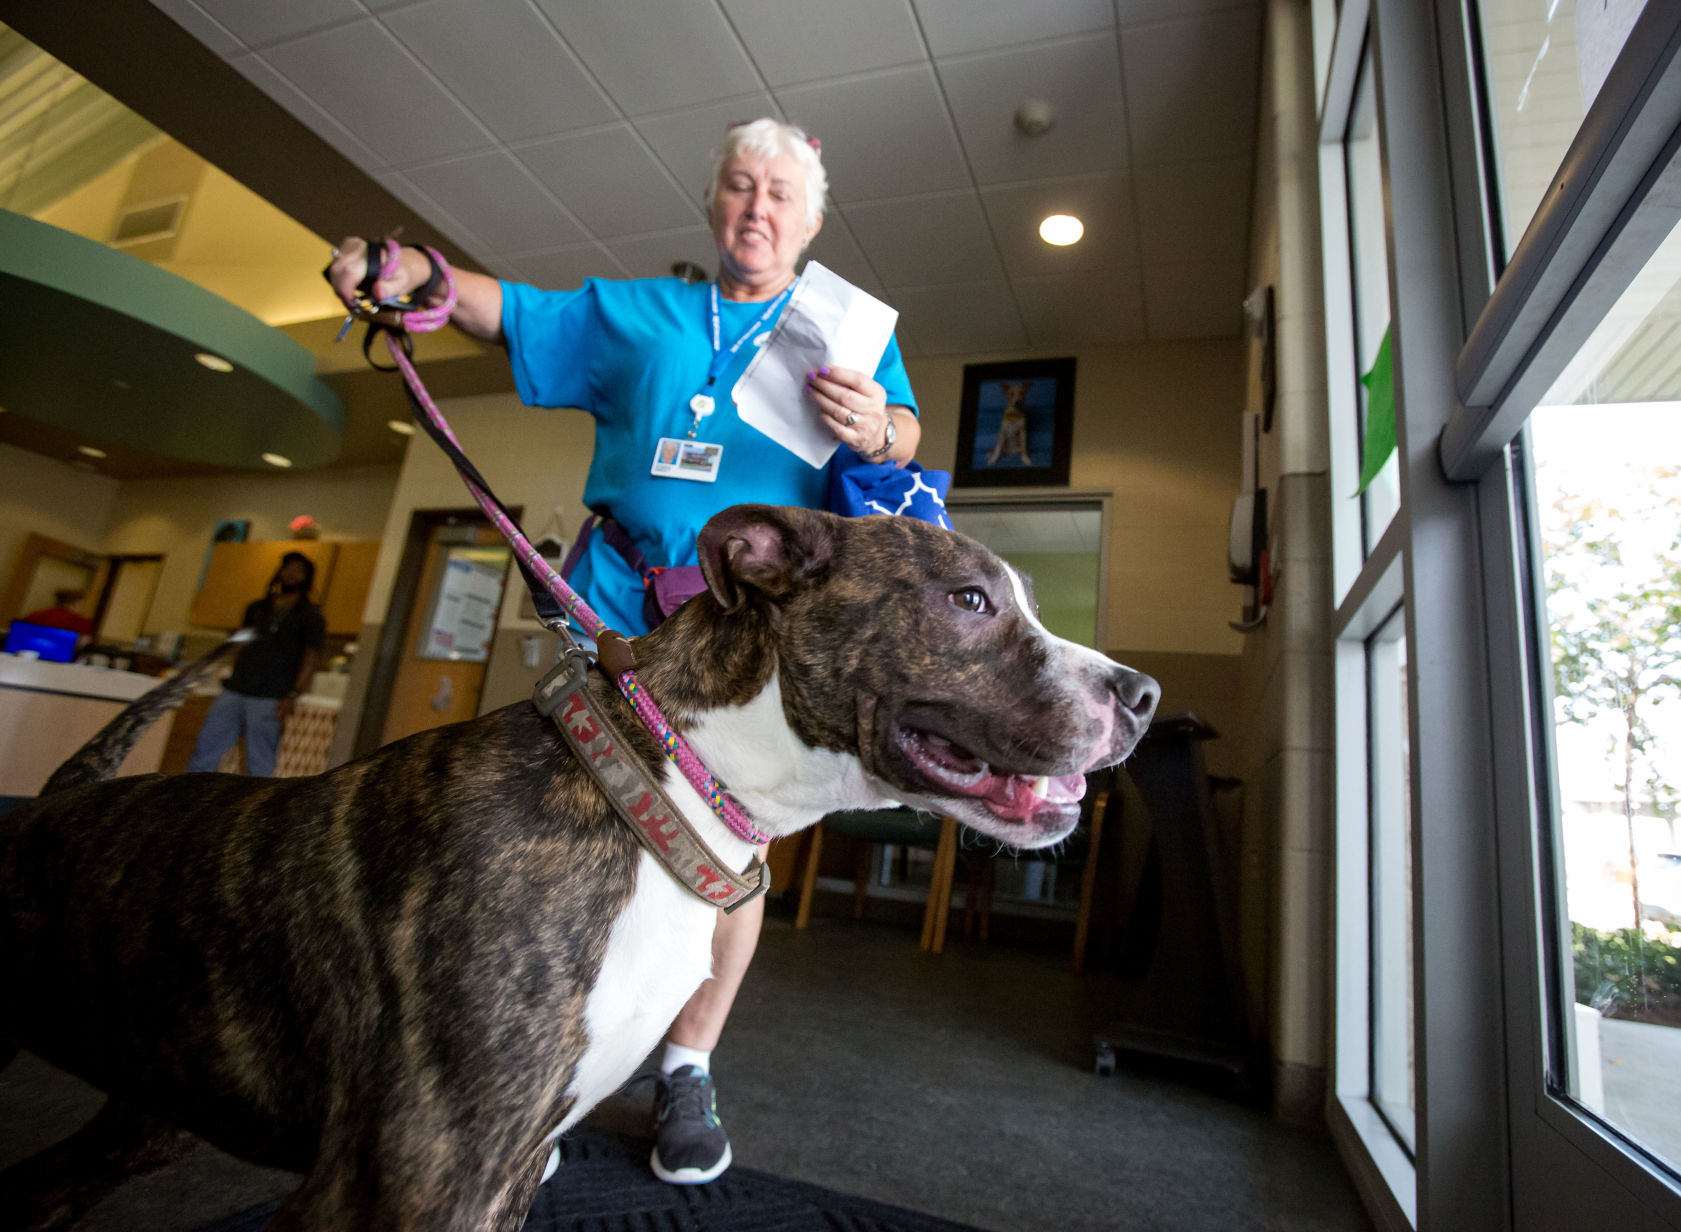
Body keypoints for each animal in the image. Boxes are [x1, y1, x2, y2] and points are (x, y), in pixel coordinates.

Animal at [0, 504, 1156, 1223]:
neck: (660, 783)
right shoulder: (411, 1188)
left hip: (145, 1110)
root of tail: (46, 801)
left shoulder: (503, 1176)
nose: (1141, 696)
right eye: (968, 601)